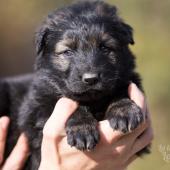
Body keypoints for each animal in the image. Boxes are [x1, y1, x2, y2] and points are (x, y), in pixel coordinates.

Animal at [0, 0, 149, 169]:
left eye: (105, 47)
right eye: (67, 52)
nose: (91, 79)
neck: (93, 101)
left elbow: (120, 89)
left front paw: (123, 110)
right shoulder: (36, 107)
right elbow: (65, 102)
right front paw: (82, 128)